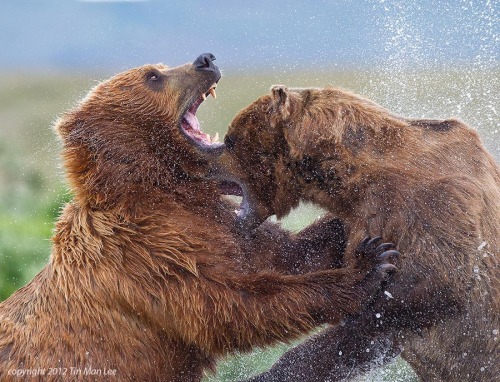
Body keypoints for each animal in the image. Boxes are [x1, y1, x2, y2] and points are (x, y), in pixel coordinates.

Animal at [0, 54, 398, 382]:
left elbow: (284, 254)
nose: (206, 59)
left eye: (159, 66)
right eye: (153, 76)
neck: (161, 191)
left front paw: (348, 225)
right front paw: (368, 267)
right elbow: (232, 306)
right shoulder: (146, 256)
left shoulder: (214, 225)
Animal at [195, 86, 500, 382]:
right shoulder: (360, 222)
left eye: (230, 139)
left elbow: (427, 287)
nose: (199, 159)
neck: (353, 181)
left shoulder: (434, 206)